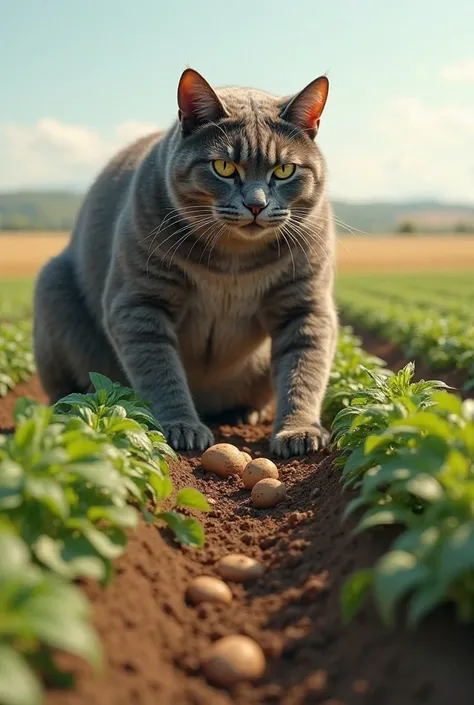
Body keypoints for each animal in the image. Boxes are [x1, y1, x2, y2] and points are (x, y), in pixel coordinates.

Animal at [33, 70, 336, 456]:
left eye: (284, 170)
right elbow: (160, 370)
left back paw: (245, 412)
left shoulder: (304, 304)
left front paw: (299, 430)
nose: (256, 204)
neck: (233, 261)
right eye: (224, 166)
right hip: (52, 290)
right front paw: (181, 428)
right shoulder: (140, 300)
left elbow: (304, 368)